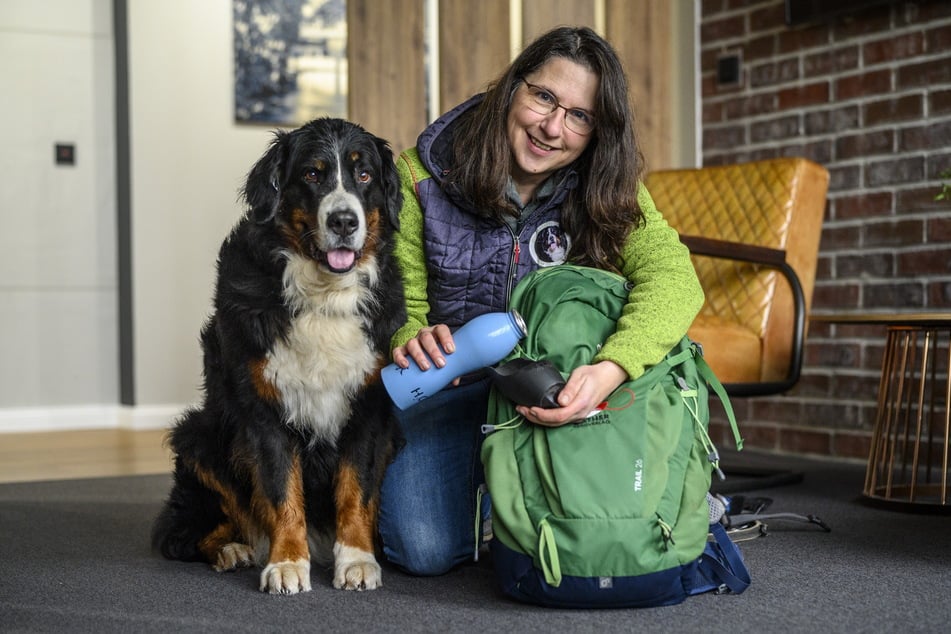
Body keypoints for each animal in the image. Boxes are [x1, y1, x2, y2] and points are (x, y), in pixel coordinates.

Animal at [152, 117, 406, 592]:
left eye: (364, 175)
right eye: (312, 174)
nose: (344, 220)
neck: (323, 296)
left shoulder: (368, 408)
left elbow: (356, 490)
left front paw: (357, 559)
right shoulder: (264, 408)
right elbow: (280, 489)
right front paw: (287, 562)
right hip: (199, 437)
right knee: (184, 533)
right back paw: (232, 549)